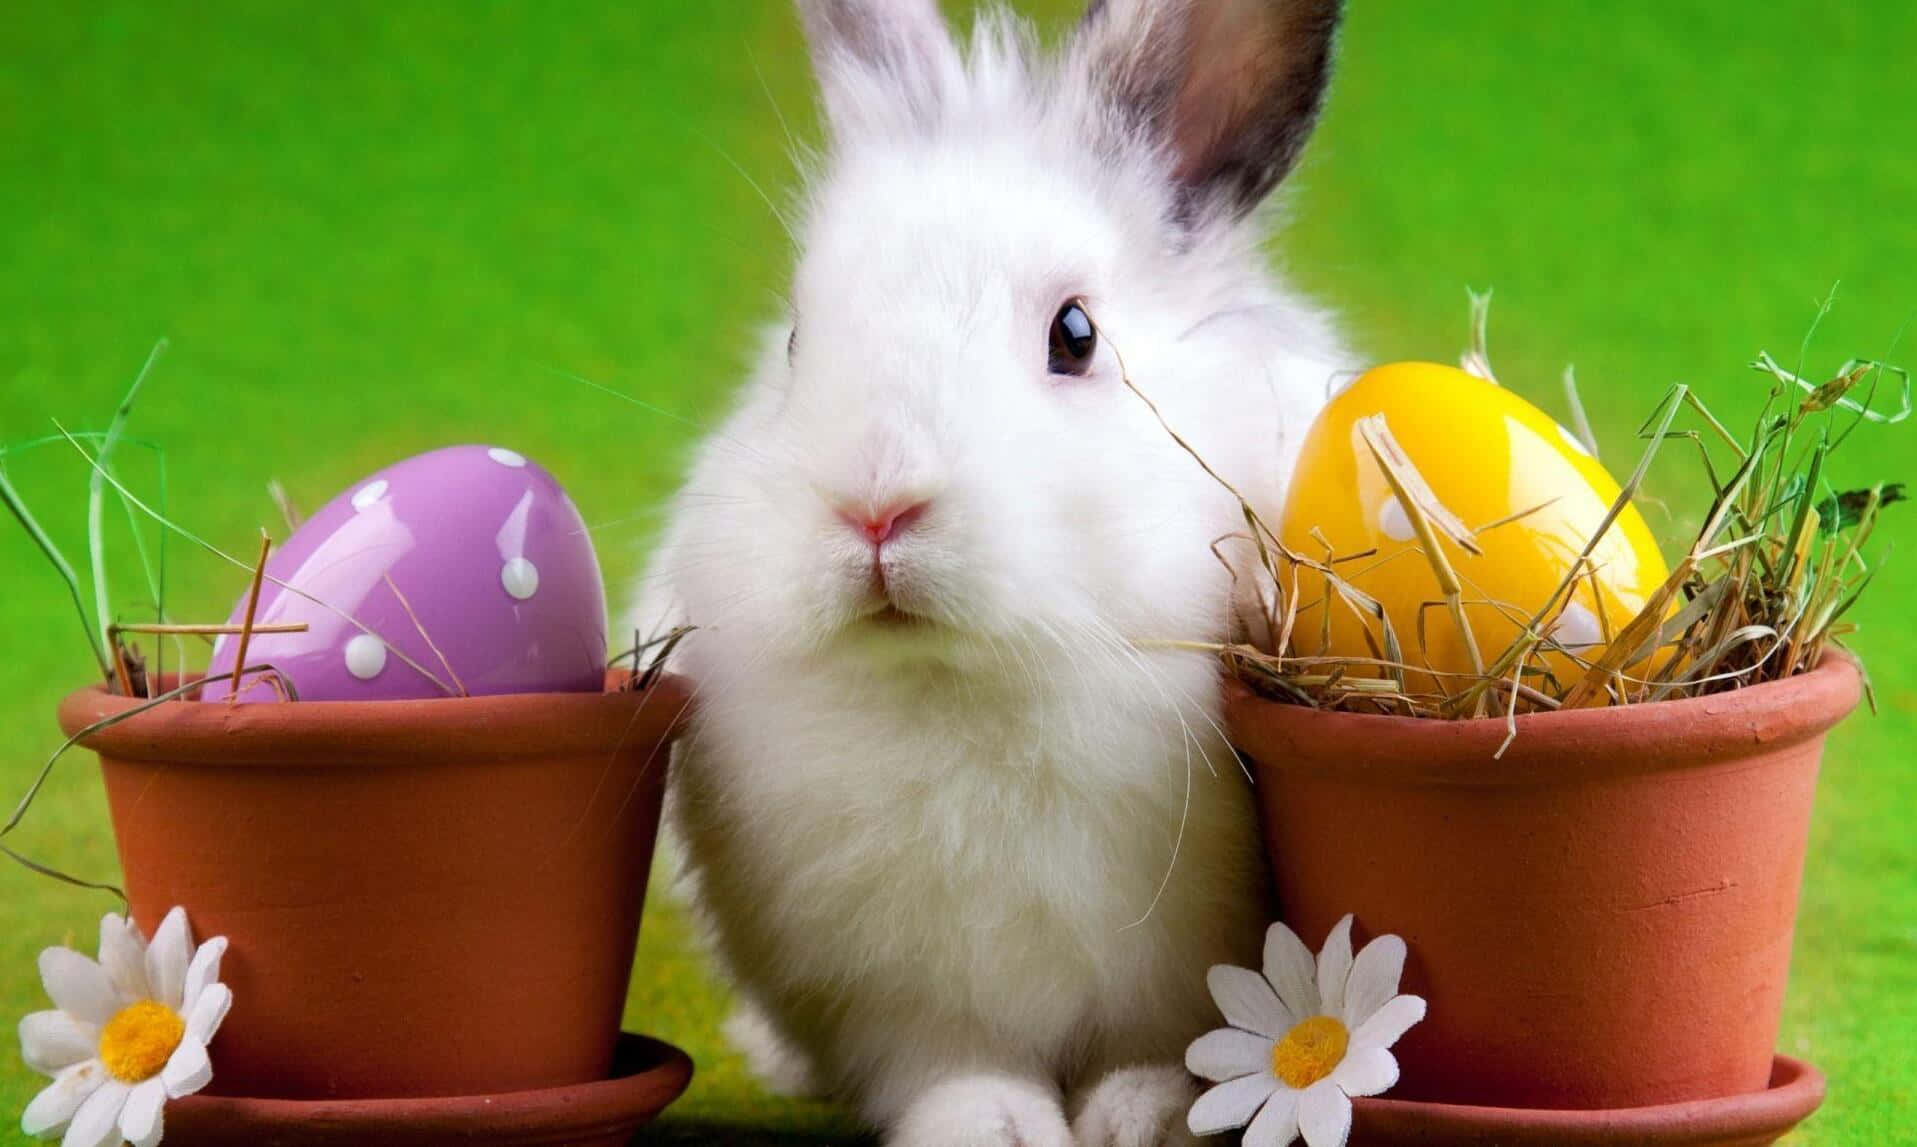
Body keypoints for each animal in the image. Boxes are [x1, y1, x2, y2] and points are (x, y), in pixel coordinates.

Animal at [634, 1, 1353, 1143]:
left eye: (1076, 334)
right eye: (794, 340)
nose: (876, 506)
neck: (971, 681)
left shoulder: (1181, 968)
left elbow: (1164, 1042)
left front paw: (1144, 1112)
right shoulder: (895, 995)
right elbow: (951, 1063)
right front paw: (991, 1125)